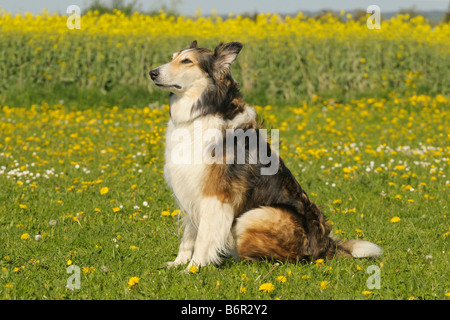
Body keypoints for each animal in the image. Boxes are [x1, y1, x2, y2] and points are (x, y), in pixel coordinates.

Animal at [149, 40, 382, 270]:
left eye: (186, 61)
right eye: (172, 57)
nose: (152, 73)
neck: (205, 109)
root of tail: (326, 247)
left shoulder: (214, 195)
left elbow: (203, 236)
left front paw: (194, 268)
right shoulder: (191, 188)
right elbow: (189, 235)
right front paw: (178, 263)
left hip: (255, 215)